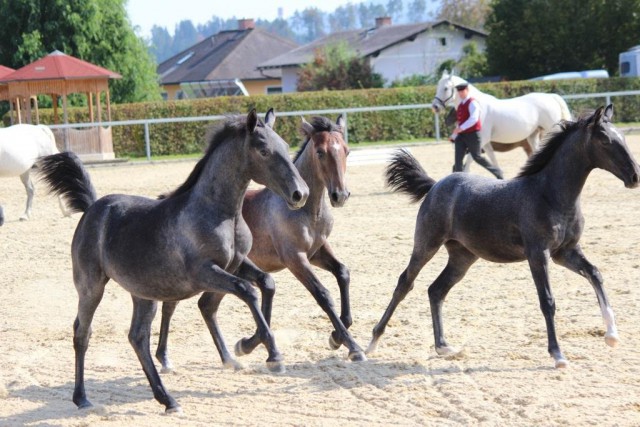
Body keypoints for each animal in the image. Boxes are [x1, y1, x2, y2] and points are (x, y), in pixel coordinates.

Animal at [432, 70, 572, 171]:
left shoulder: (481, 141)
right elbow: (493, 160)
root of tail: (551, 97)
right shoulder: (485, 143)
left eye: (445, 88)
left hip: (552, 129)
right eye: (437, 87)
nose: (435, 107)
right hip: (533, 135)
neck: (477, 106)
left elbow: (471, 160)